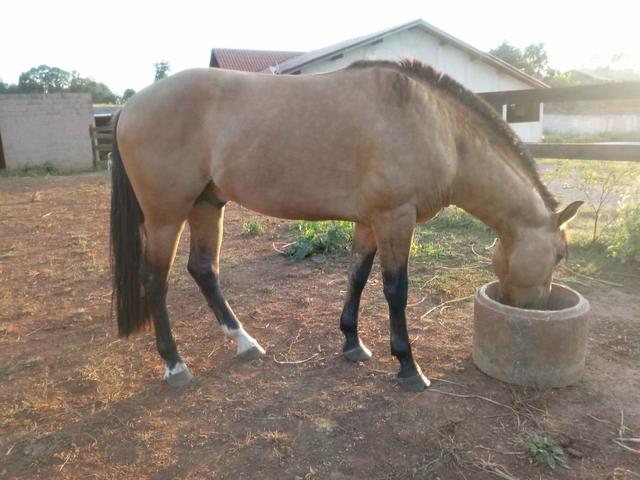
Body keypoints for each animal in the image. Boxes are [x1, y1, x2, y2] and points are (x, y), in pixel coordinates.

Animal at [110, 59, 582, 391]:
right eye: (560, 253)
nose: (535, 308)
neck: (438, 128)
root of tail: (129, 106)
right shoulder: (396, 217)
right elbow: (395, 289)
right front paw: (408, 366)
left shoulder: (370, 221)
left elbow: (357, 276)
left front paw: (353, 343)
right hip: (166, 214)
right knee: (155, 279)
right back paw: (175, 365)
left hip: (207, 204)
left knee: (203, 269)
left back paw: (244, 342)